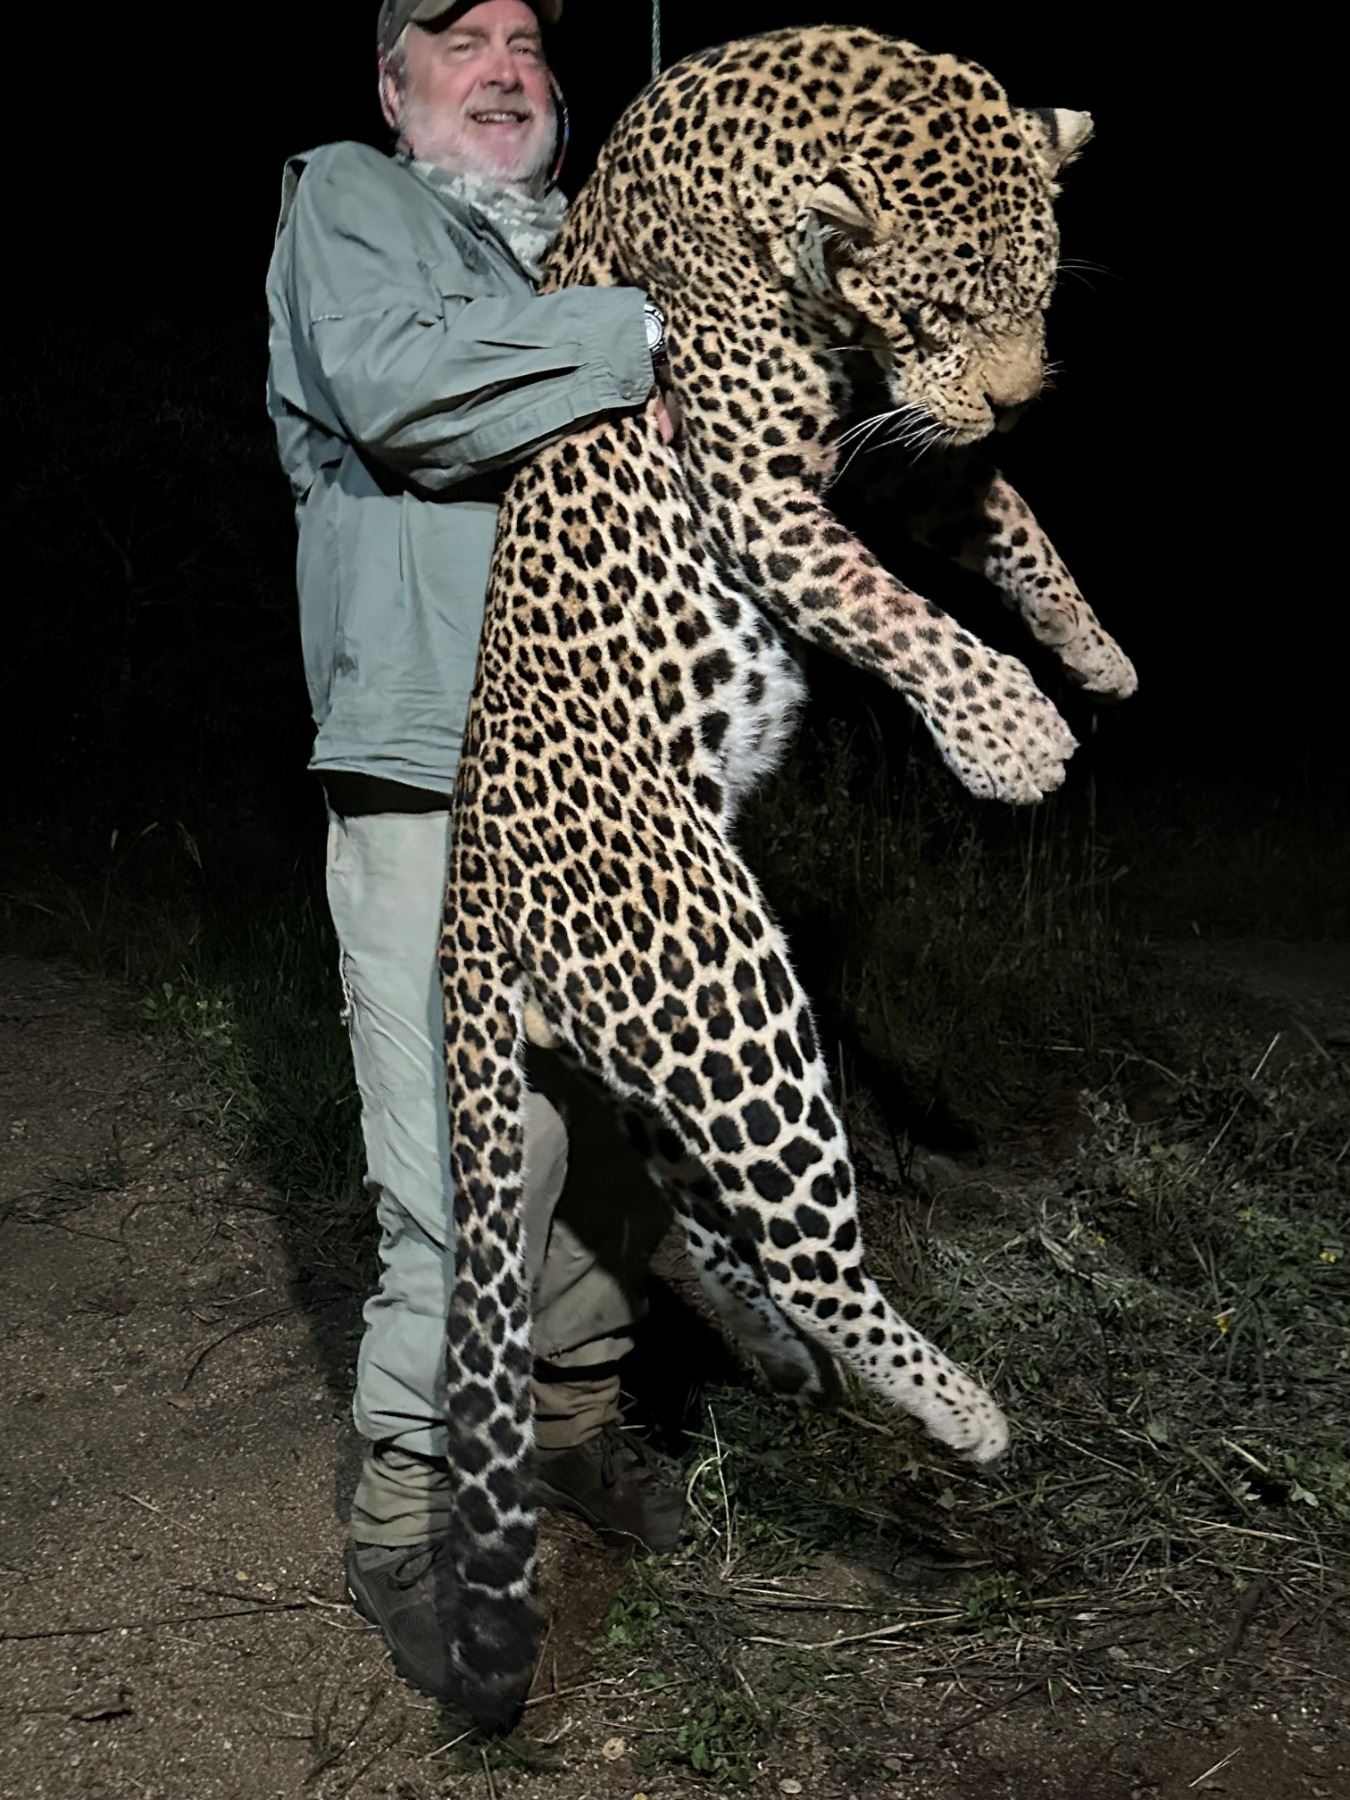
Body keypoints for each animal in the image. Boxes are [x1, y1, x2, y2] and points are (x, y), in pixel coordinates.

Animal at [433, 25, 1137, 1726]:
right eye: (937, 309)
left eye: (1039, 300)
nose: (1017, 400)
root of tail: (471, 889)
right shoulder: (759, 482)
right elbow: (883, 603)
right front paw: (1009, 734)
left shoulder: (892, 456)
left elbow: (1002, 521)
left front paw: (1090, 653)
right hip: (722, 976)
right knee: (808, 1243)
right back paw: (955, 1410)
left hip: (652, 1040)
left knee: (697, 1221)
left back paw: (778, 1360)